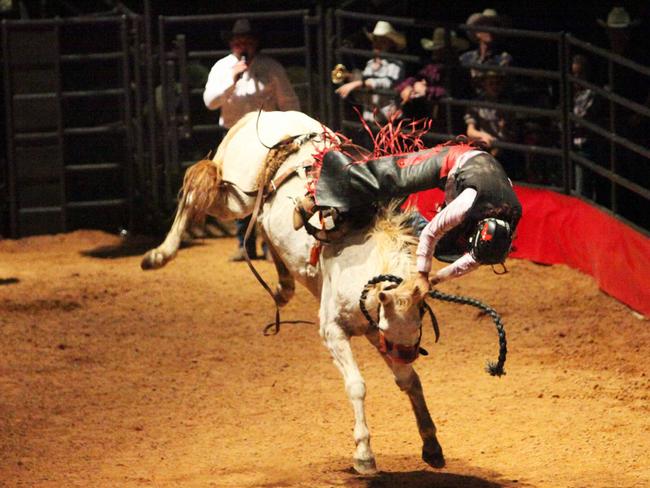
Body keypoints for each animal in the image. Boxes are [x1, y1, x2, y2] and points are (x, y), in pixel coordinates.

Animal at [141, 110, 442, 472]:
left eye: (420, 323)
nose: (407, 352)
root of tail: (264, 114)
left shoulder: (375, 332)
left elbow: (408, 381)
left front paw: (431, 443)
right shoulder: (333, 331)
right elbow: (357, 386)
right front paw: (364, 454)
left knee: (260, 225)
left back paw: (282, 288)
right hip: (233, 196)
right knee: (196, 190)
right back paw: (158, 255)